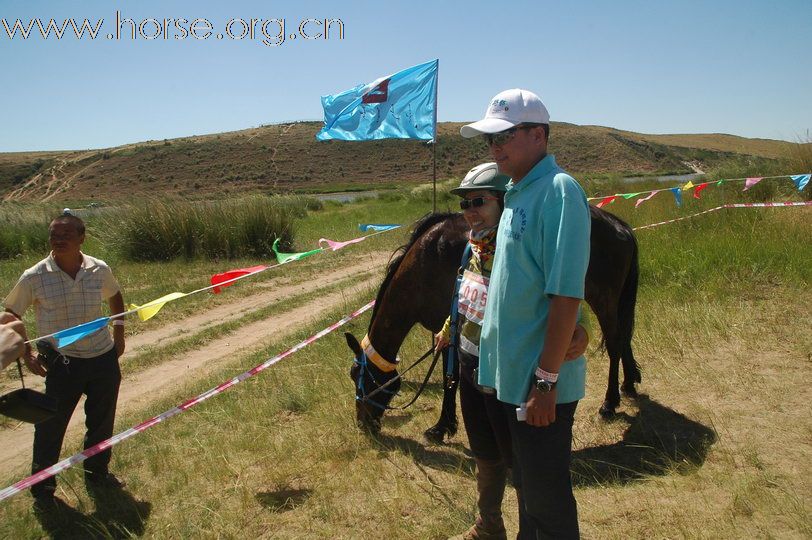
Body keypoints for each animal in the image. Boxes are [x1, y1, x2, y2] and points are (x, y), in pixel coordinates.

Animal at [346, 207, 636, 438]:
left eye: (356, 375)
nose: (362, 424)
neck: (425, 264)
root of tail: (619, 226)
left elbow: (450, 377)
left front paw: (442, 427)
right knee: (624, 338)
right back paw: (630, 383)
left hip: (604, 301)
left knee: (614, 343)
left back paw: (609, 403)